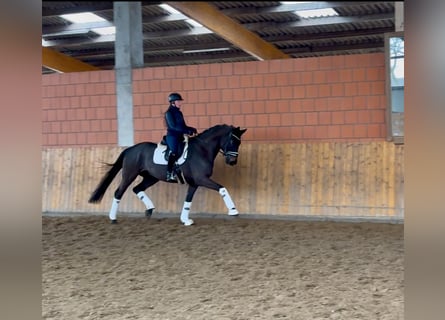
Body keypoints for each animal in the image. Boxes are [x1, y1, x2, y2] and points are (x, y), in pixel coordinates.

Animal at [86, 124, 246, 226]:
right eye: (232, 140)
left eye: (239, 142)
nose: (232, 161)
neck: (202, 149)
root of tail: (130, 149)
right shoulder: (202, 179)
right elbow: (222, 188)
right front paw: (233, 211)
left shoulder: (195, 182)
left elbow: (188, 200)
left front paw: (185, 220)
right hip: (129, 175)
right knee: (119, 192)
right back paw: (113, 218)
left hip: (151, 178)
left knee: (137, 189)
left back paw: (149, 209)